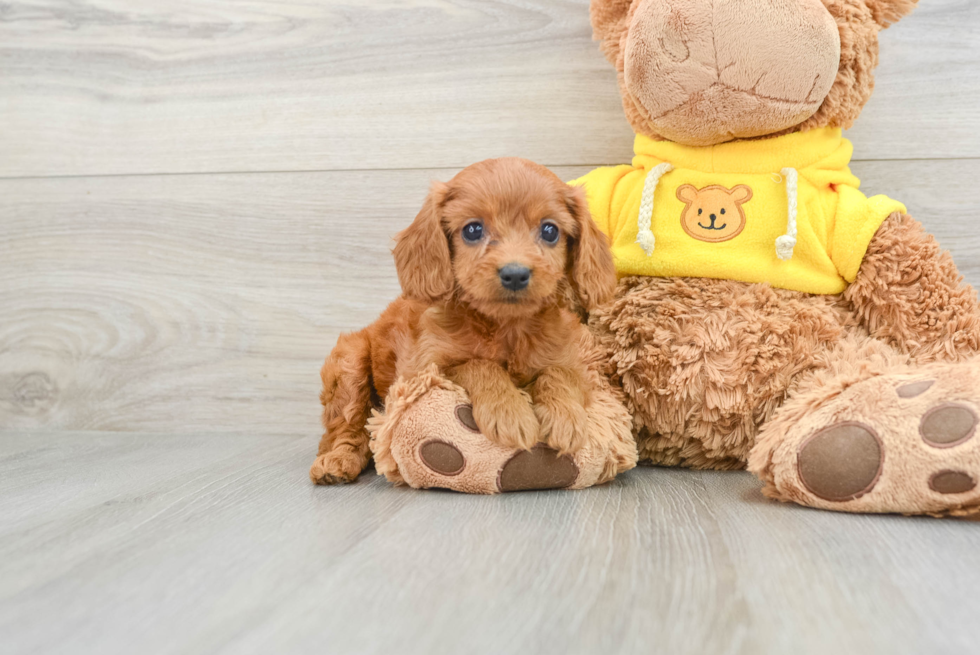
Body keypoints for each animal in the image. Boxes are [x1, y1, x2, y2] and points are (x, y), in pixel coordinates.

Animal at [310, 158, 616, 484]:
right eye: (472, 230)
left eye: (549, 231)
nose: (515, 273)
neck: (505, 327)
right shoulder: (424, 369)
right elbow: (477, 364)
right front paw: (509, 411)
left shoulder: (574, 363)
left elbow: (559, 374)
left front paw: (565, 417)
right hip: (348, 363)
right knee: (345, 427)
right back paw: (336, 461)